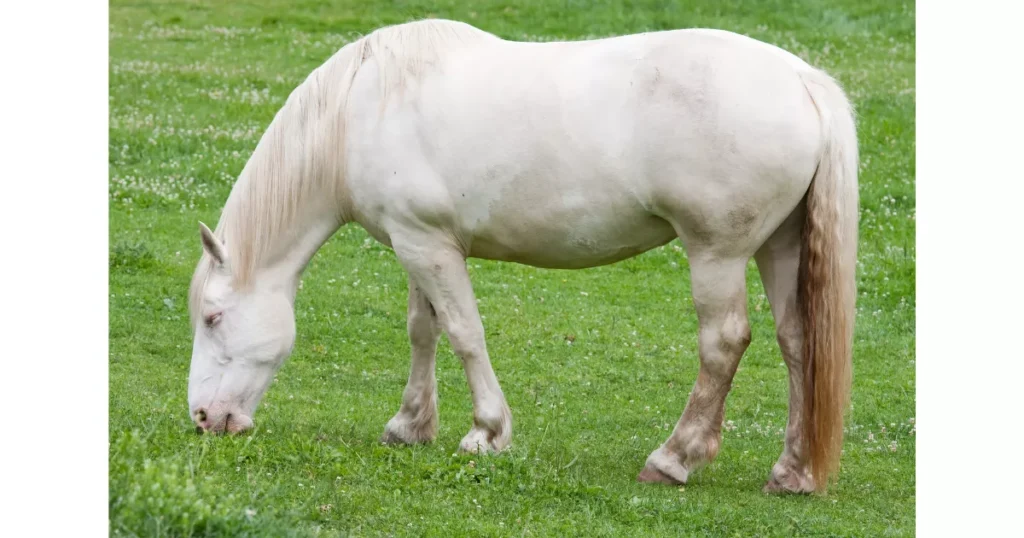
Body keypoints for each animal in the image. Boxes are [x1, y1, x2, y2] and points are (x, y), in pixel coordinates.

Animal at [184, 18, 856, 493]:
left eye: (213, 318)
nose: (205, 419)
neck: (362, 109)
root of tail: (802, 81)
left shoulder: (428, 246)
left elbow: (463, 333)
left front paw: (487, 432)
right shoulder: (415, 243)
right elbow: (422, 330)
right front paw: (410, 426)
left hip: (717, 254)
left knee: (723, 343)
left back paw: (673, 458)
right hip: (779, 247)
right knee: (798, 343)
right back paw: (792, 471)